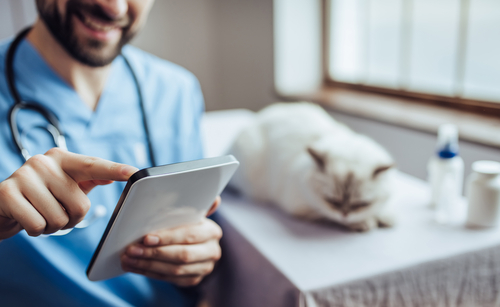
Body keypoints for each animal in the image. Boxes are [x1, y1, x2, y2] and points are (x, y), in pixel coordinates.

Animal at [229, 102, 396, 232]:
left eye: (361, 204)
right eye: (332, 201)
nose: (345, 214)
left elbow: (382, 210)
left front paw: (384, 217)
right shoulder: (303, 207)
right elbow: (329, 216)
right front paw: (364, 222)